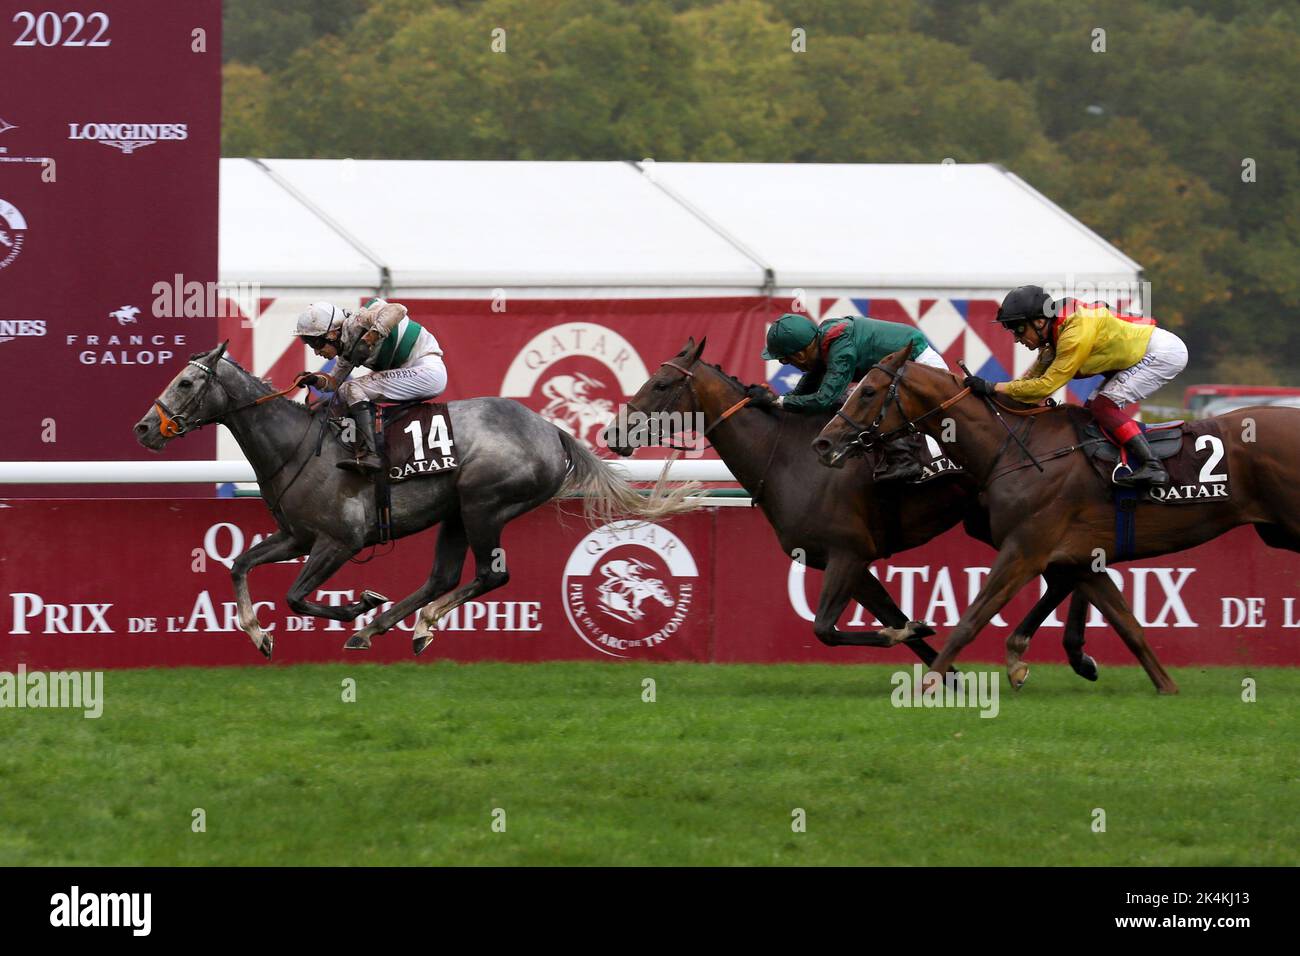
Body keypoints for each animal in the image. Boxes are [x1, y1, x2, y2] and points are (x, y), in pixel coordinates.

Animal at [134, 343, 702, 658]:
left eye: (186, 381)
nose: (143, 428)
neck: (296, 443)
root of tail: (552, 431)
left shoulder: (339, 541)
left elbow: (296, 597)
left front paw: (358, 604)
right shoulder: (296, 536)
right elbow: (239, 564)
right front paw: (259, 636)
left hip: (483, 505)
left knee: (491, 575)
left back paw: (413, 625)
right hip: (456, 514)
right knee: (444, 576)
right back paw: (389, 628)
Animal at [811, 348, 1300, 691]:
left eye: (867, 391)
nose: (823, 442)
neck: (1013, 450)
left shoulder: (1024, 549)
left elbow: (972, 619)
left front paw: (929, 686)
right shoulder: (1079, 557)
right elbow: (1126, 623)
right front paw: (1165, 687)